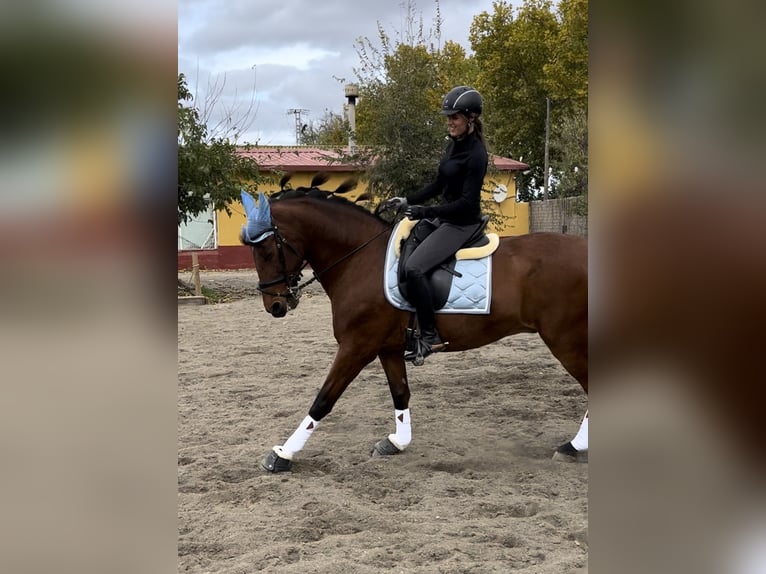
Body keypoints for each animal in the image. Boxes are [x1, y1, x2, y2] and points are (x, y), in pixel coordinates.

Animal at [243, 178, 592, 474]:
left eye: (266, 249)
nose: (275, 306)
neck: (360, 260)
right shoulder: (387, 348)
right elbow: (400, 393)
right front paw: (397, 442)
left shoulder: (356, 347)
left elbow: (324, 399)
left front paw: (282, 454)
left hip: (565, 340)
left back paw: (573, 448)